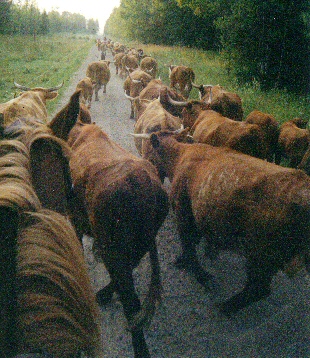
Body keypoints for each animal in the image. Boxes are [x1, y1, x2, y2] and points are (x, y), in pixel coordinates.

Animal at [145, 129, 310, 316]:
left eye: (149, 152)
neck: (180, 155)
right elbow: (193, 241)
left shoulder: (182, 211)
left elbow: (189, 245)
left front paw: (199, 273)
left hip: (260, 255)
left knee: (258, 288)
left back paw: (225, 307)